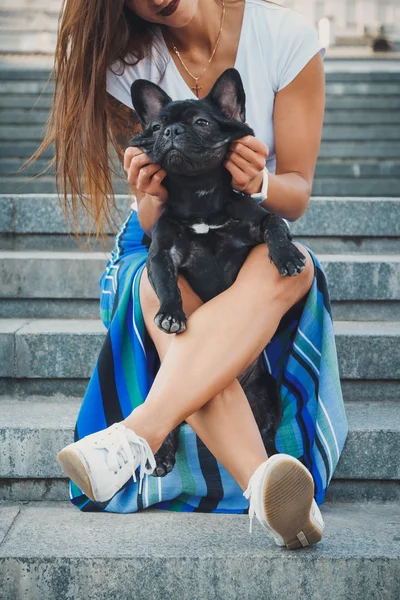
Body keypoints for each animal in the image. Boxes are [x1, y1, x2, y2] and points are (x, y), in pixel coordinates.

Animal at [130, 67, 304, 478]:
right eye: (156, 126)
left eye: (201, 122)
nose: (171, 131)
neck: (198, 196)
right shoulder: (161, 254)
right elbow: (167, 285)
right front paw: (172, 315)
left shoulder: (257, 222)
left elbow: (276, 225)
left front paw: (286, 255)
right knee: (170, 421)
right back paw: (162, 455)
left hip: (266, 395)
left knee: (265, 432)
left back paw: (273, 461)